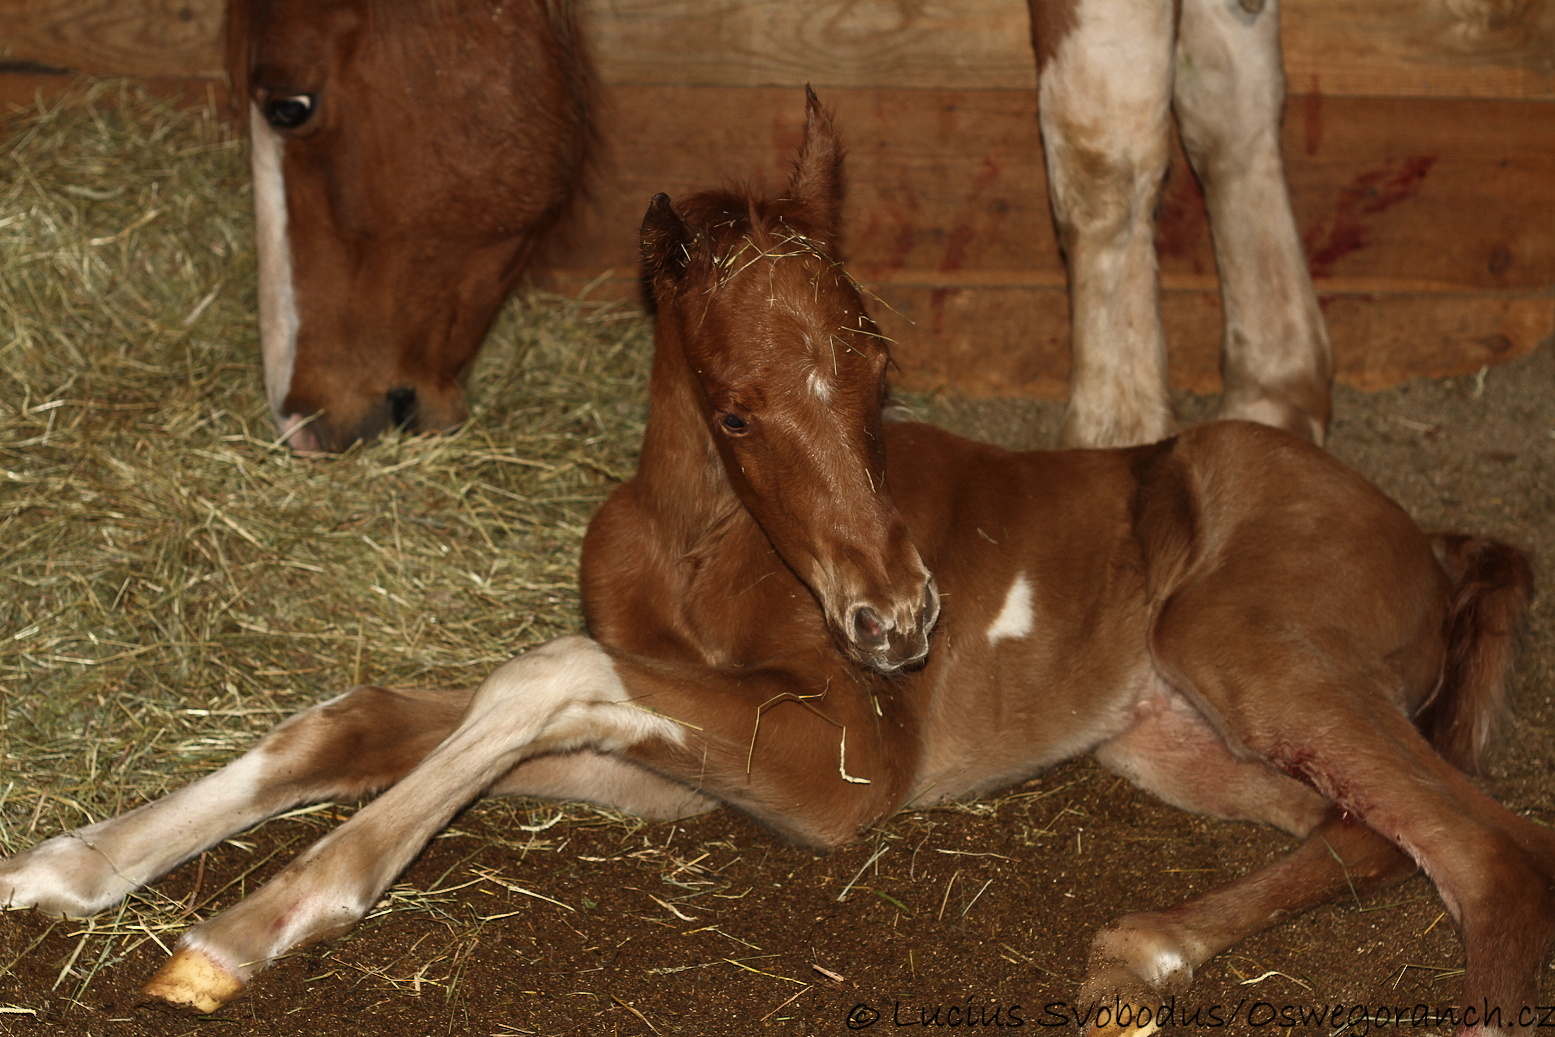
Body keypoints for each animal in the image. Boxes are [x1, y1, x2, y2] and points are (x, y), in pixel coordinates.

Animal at [0, 97, 1542, 1032]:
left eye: (879, 371)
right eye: (737, 412)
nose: (902, 619)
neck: (705, 543)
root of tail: (1436, 539)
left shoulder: (845, 770)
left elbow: (542, 670)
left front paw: (254, 923)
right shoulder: (675, 769)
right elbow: (378, 717)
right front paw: (71, 863)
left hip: (1246, 645)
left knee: (1485, 844)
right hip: (1172, 738)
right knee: (1359, 831)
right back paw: (1140, 949)